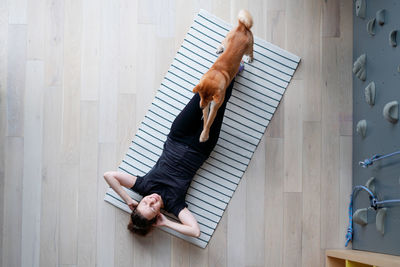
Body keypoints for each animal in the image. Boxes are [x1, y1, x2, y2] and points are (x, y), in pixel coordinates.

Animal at [193, 9, 253, 143]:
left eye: (209, 99)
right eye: (200, 96)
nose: (200, 107)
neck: (217, 73)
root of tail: (242, 26)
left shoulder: (215, 106)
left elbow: (209, 121)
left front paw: (204, 135)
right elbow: (206, 118)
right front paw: (203, 124)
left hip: (248, 49)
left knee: (252, 52)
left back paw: (250, 59)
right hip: (227, 39)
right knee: (222, 42)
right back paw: (220, 48)